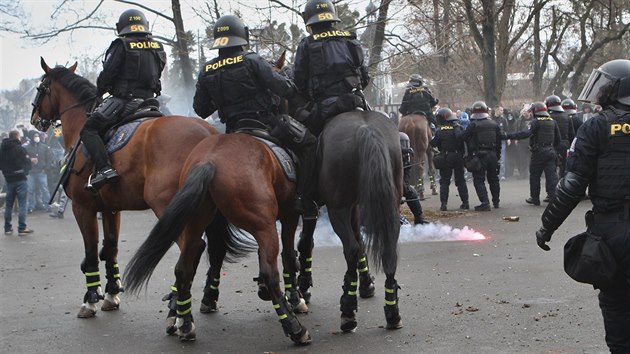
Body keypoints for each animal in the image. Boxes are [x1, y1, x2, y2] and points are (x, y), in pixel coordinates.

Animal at [30, 57, 221, 318]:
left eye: (41, 87)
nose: (34, 119)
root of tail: (209, 135)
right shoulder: (110, 208)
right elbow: (110, 249)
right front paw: (111, 293)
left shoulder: (82, 207)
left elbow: (91, 251)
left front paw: (91, 299)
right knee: (212, 251)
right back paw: (198, 300)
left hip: (169, 209)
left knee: (194, 249)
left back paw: (178, 307)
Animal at [123, 131, 312, 344]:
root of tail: (209, 161)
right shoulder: (290, 216)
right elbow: (288, 257)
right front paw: (296, 298)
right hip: (264, 226)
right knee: (270, 274)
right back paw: (295, 328)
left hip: (195, 225)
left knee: (183, 269)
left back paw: (186, 325)